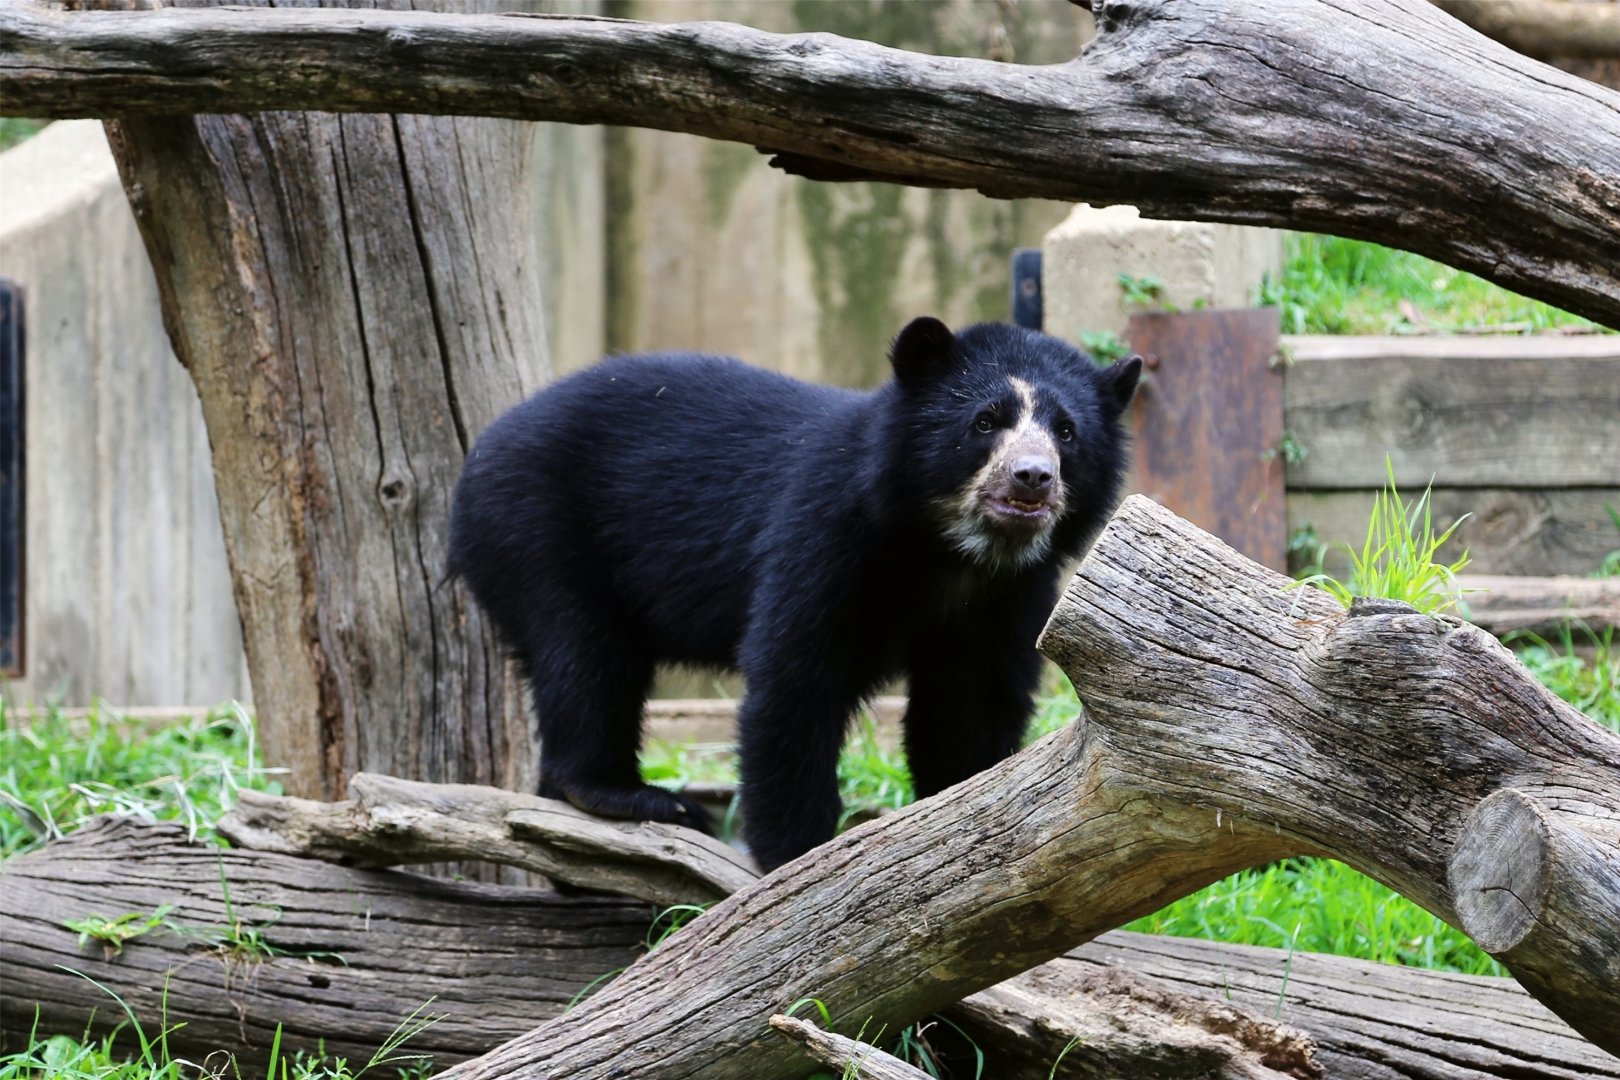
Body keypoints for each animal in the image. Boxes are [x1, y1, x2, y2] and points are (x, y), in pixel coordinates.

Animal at [448, 317, 1140, 872]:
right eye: (985, 422)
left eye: (1067, 432)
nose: (1032, 479)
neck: (949, 553)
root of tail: (479, 455)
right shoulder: (825, 539)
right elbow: (795, 685)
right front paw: (797, 856)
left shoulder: (1010, 596)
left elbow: (969, 706)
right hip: (539, 534)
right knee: (585, 659)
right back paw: (626, 794)